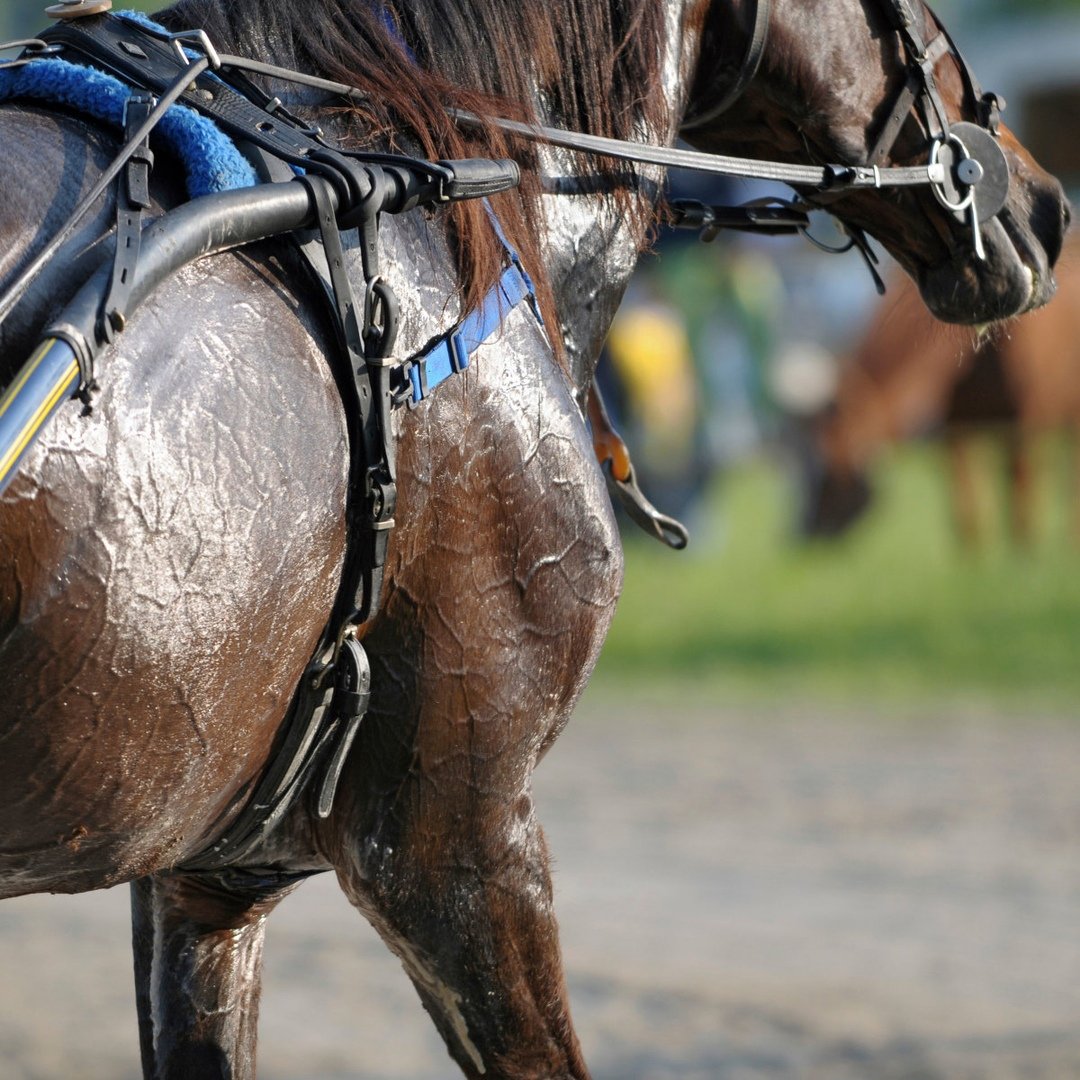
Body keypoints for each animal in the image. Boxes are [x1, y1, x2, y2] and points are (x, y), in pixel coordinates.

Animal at [794, 232, 1080, 544]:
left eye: (832, 455)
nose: (807, 528)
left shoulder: (1023, 426)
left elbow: (1023, 518)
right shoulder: (953, 430)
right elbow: (967, 518)